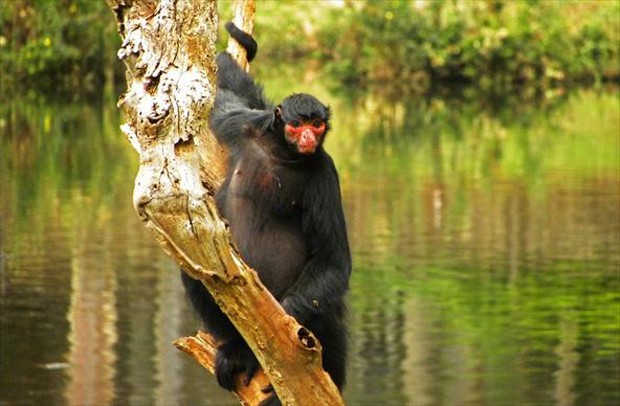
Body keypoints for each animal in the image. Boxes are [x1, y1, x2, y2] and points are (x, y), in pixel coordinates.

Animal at [182, 23, 352, 406]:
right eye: (296, 124)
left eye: (317, 124)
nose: (308, 137)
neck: (280, 153)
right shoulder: (243, 123)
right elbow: (220, 99)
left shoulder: (324, 172)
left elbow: (334, 261)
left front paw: (284, 324)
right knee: (195, 270)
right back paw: (237, 349)